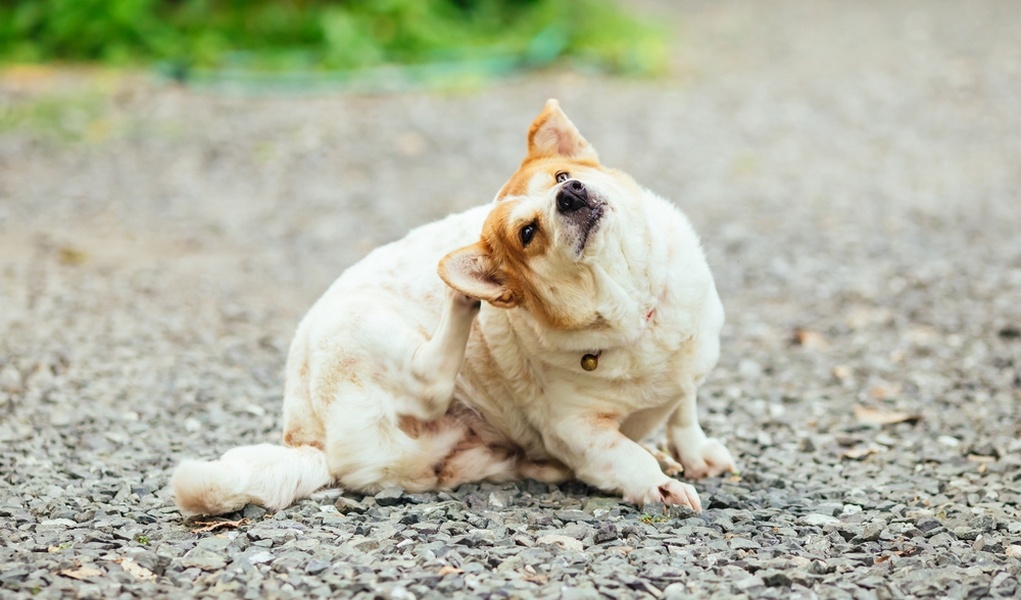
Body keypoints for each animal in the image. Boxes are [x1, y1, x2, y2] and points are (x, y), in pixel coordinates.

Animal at [173, 98, 735, 516]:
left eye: (561, 176)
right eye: (527, 233)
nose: (571, 194)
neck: (637, 311)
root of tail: (304, 439)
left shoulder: (686, 374)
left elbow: (683, 411)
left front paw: (693, 452)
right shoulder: (580, 432)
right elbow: (625, 458)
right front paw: (659, 484)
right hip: (366, 326)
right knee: (429, 382)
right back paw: (460, 300)